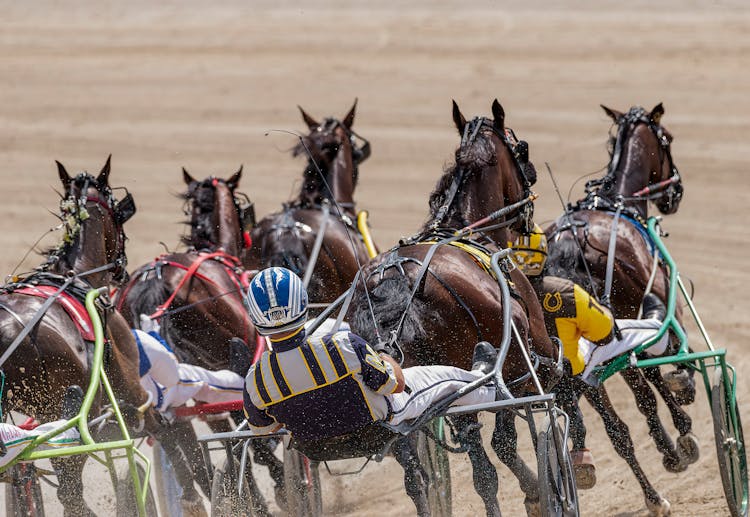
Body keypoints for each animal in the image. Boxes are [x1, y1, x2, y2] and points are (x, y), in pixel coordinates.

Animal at [0, 159, 204, 512]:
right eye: (118, 217)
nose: (121, 268)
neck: (77, 277)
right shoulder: (132, 389)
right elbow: (162, 431)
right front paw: (191, 498)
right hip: (67, 410)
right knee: (70, 492)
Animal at [350, 100, 560, 516]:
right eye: (522, 148)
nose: (529, 191)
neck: (466, 228)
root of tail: (396, 279)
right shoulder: (532, 360)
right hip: (500, 370)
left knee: (428, 476)